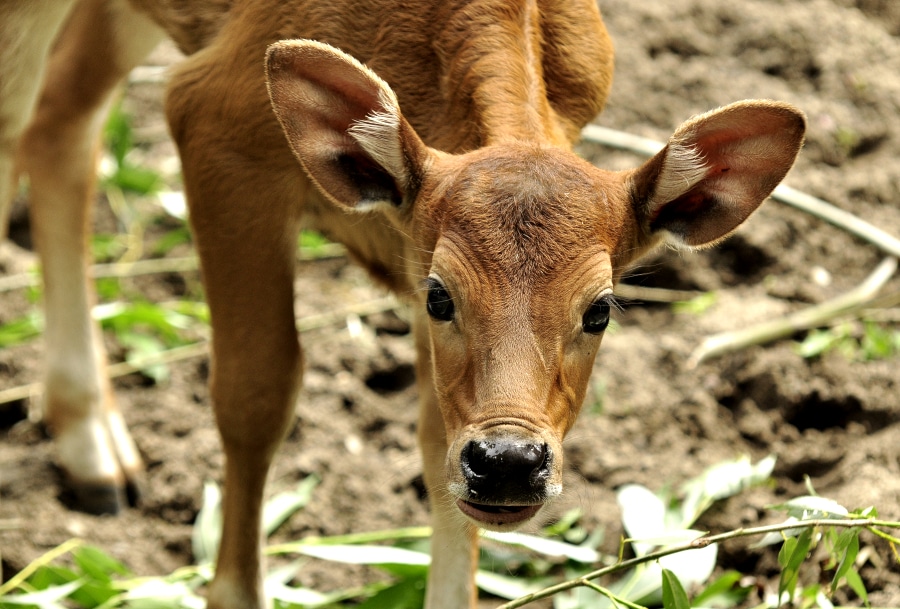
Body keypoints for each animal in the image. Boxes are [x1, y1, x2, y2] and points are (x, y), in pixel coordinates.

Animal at [0, 1, 800, 608]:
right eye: (443, 296)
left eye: (600, 309)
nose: (509, 463)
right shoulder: (216, 123)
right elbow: (256, 392)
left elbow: (433, 435)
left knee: (60, 121)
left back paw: (90, 443)